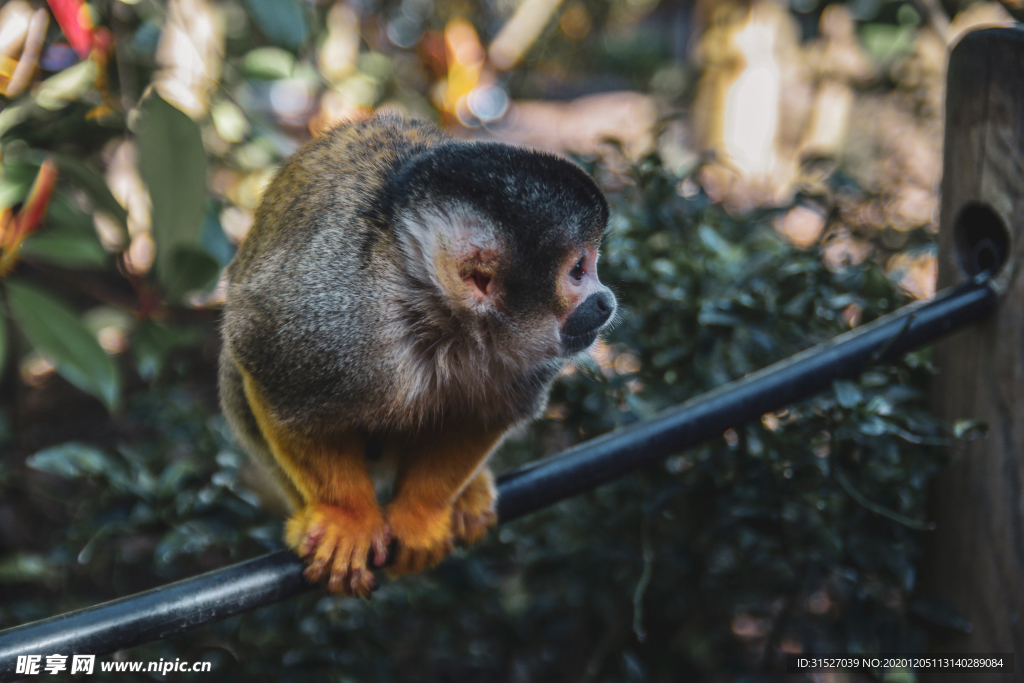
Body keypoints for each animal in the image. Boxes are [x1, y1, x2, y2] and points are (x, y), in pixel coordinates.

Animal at [218, 114, 614, 593]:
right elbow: (273, 380)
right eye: (578, 271)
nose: (606, 301)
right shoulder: (326, 320)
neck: (440, 316)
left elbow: (482, 418)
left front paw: (420, 517)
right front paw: (348, 518)